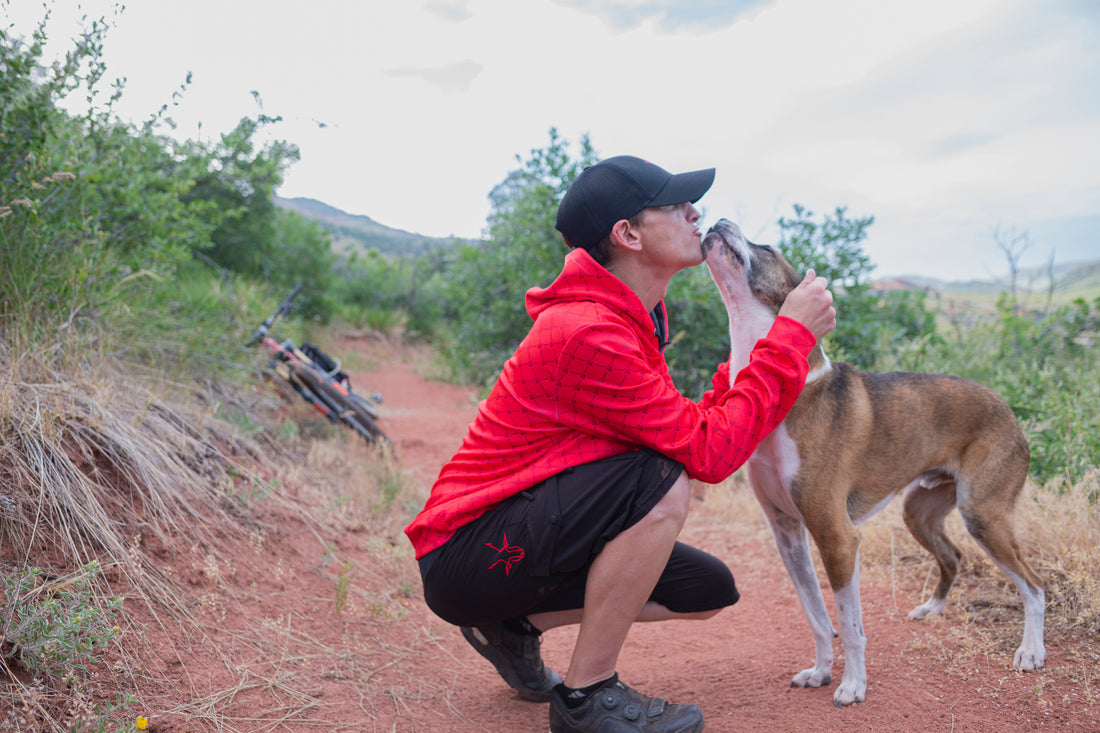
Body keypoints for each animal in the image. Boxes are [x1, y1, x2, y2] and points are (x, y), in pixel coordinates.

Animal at [699, 215, 1042, 704]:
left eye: (765, 247)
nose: (719, 219)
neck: (789, 387)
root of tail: (1008, 408)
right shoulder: (787, 535)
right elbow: (818, 618)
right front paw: (821, 671)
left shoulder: (838, 537)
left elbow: (849, 624)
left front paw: (853, 684)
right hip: (919, 511)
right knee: (954, 556)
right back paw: (932, 608)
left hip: (983, 514)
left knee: (1034, 586)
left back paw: (1031, 651)